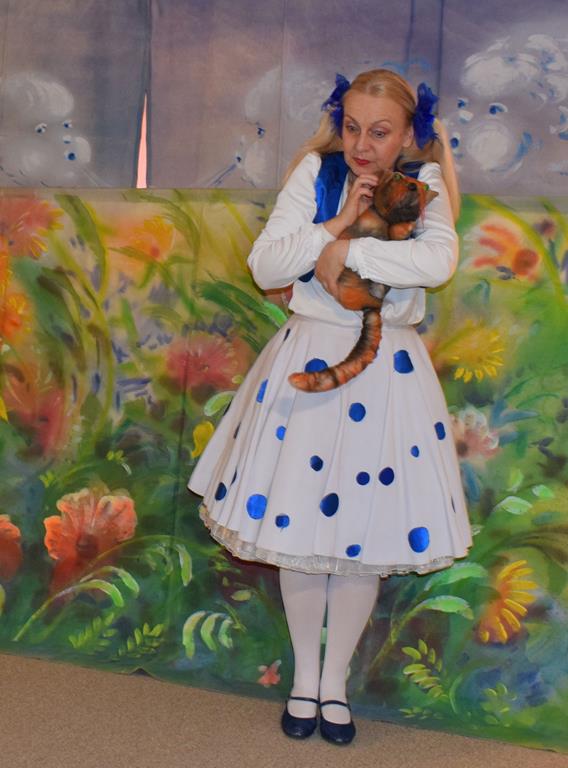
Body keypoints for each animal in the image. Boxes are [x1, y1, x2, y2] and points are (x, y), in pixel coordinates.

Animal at [288, 168, 438, 393]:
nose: (413, 186)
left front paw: (404, 227)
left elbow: (397, 234)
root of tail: (373, 307)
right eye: (397, 177)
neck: (387, 220)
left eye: (425, 186)